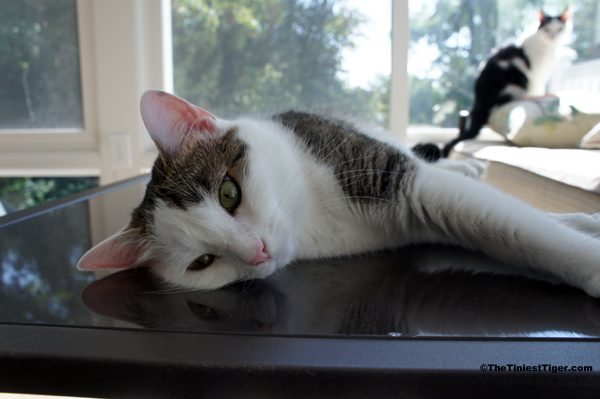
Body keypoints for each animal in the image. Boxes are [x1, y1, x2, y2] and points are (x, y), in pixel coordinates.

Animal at [78, 90, 600, 296]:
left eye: (228, 193)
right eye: (201, 262)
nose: (257, 251)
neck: (310, 214)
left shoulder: (398, 178)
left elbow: (520, 228)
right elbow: (510, 224)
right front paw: (579, 223)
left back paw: (470, 162)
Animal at [442, 7, 576, 157]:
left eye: (560, 29)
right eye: (547, 29)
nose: (553, 36)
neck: (547, 47)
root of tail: (480, 102)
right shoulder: (536, 75)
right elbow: (537, 89)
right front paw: (541, 95)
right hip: (515, 84)